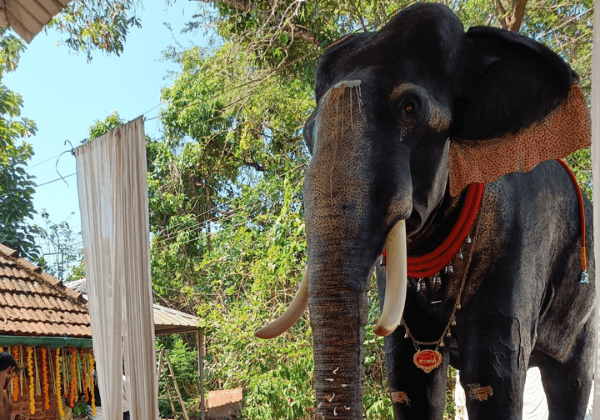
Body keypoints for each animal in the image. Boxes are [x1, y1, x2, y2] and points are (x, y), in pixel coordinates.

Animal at [255, 3, 592, 420]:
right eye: (306, 133)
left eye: (409, 107)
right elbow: (409, 380)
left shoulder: (517, 238)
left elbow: (493, 380)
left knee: (571, 380)